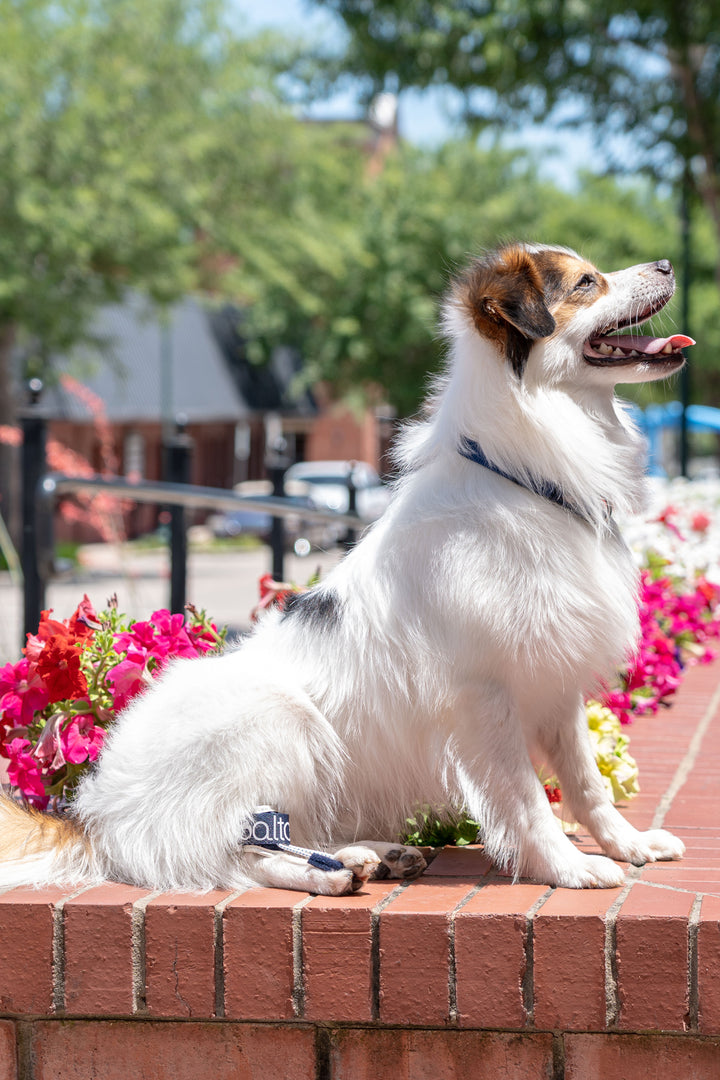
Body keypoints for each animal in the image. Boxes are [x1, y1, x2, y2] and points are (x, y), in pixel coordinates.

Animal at [1, 245, 699, 894]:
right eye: (587, 283)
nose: (669, 263)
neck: (526, 475)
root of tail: (97, 811)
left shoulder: (554, 679)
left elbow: (586, 782)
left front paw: (628, 844)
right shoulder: (484, 694)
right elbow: (528, 800)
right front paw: (568, 868)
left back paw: (370, 854)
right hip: (279, 719)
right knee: (236, 853)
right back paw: (328, 875)